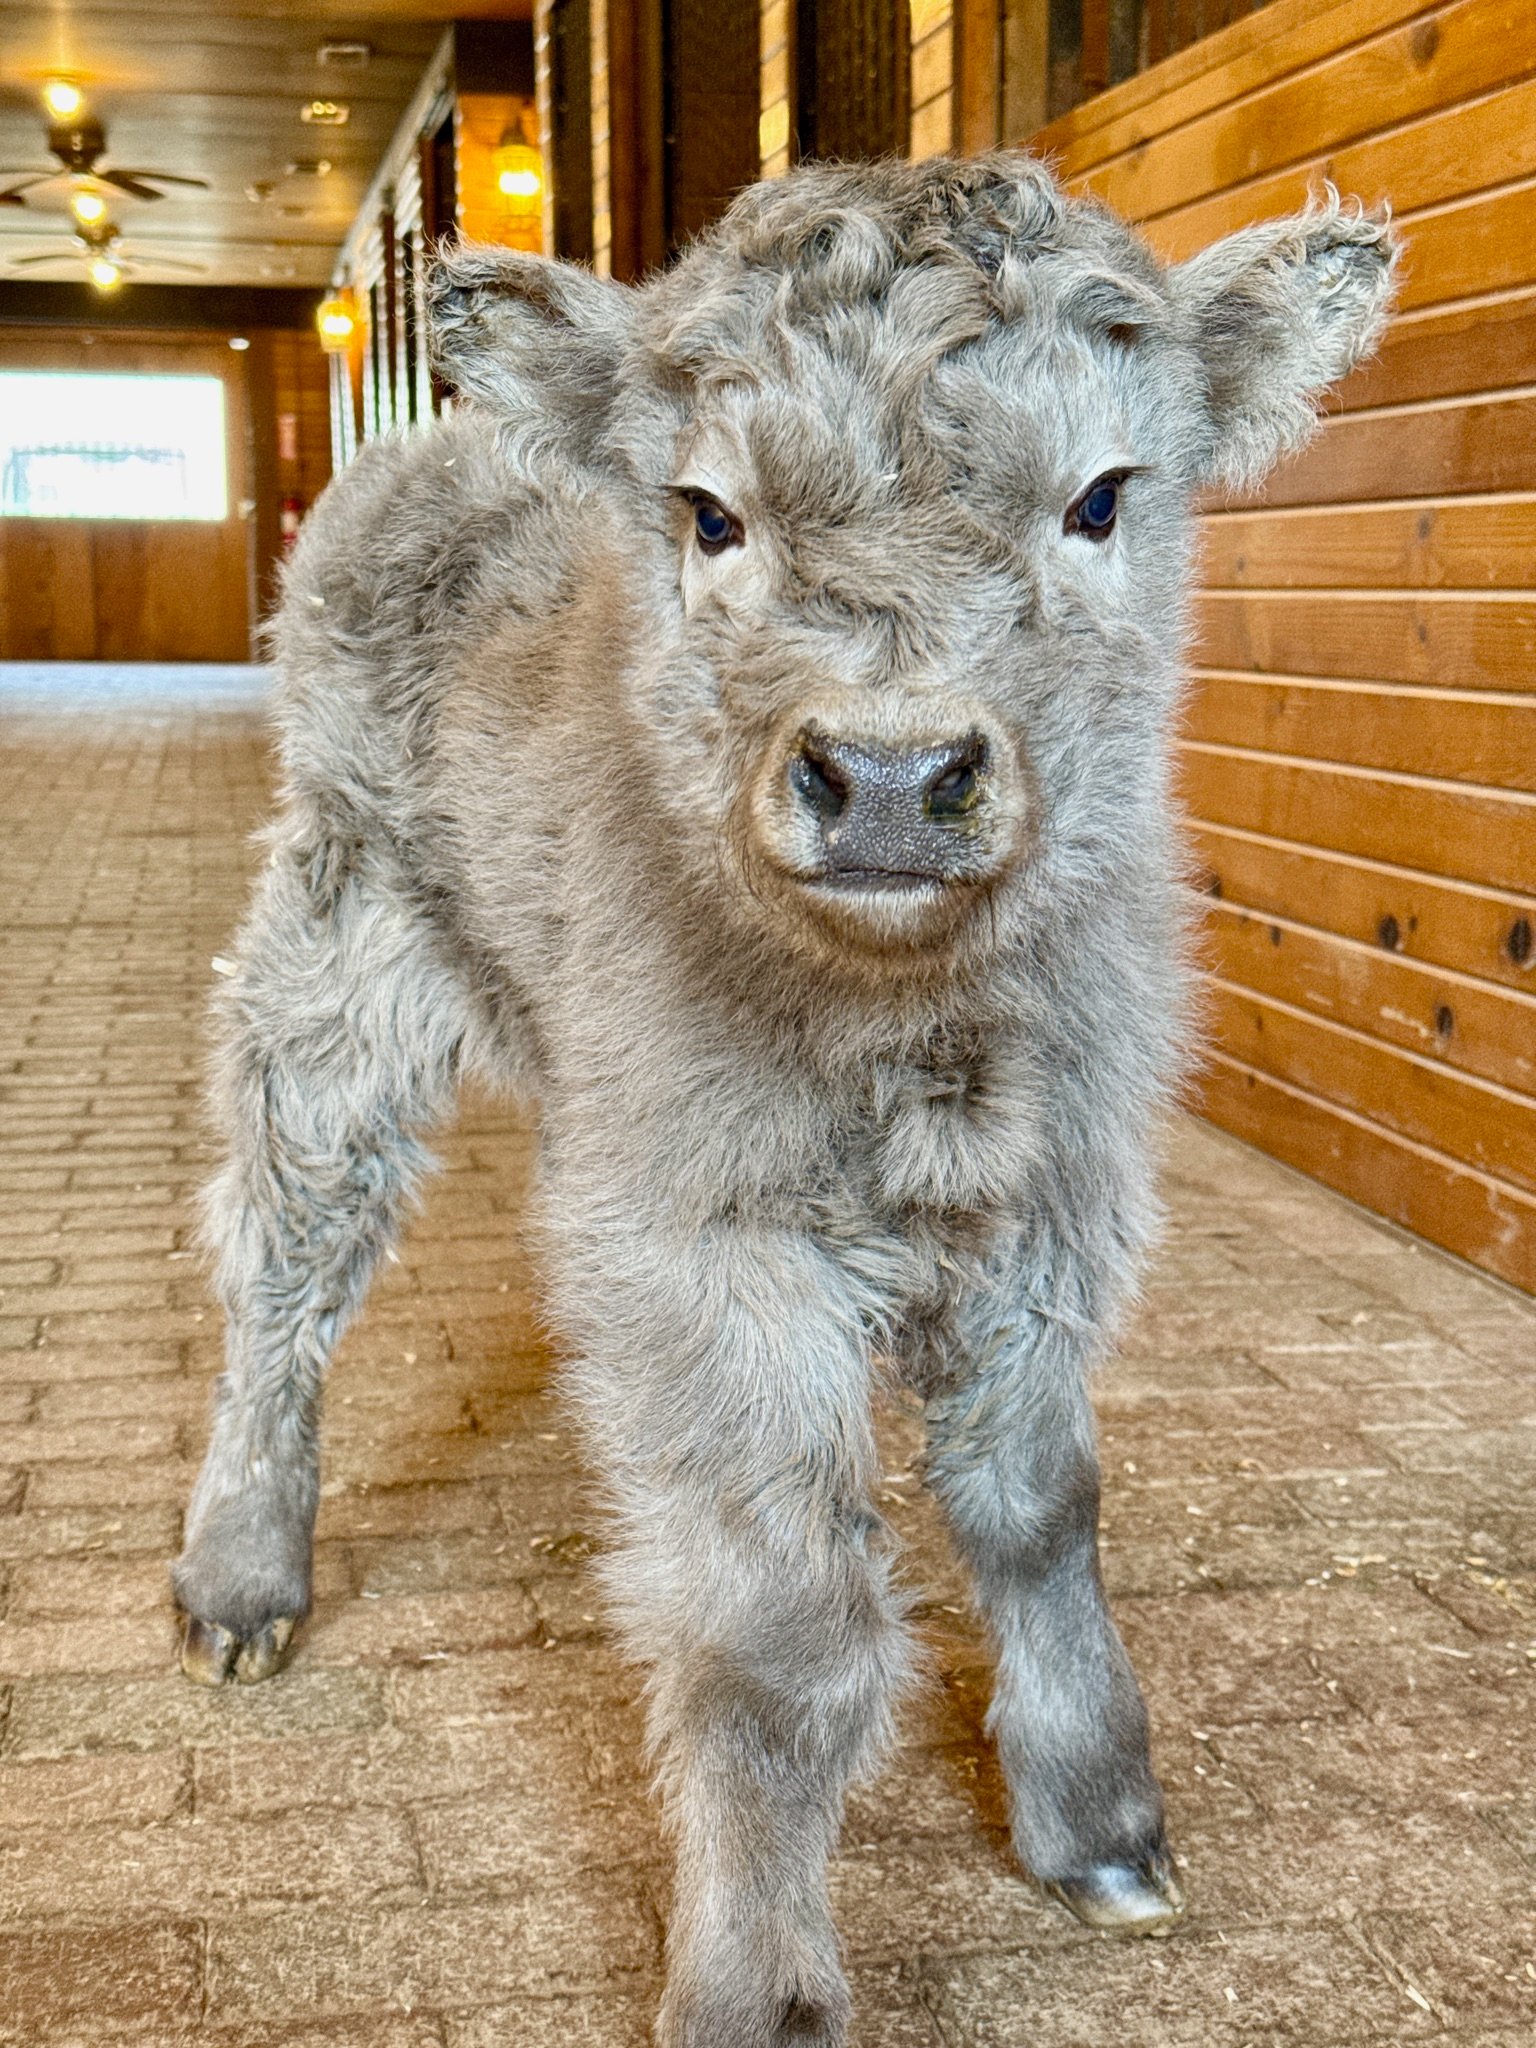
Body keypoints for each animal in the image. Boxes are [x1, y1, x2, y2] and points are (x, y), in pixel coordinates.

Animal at [171, 153, 1395, 2047]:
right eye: (708, 516)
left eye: (1103, 498)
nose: (888, 771)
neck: (908, 1033)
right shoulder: (712, 1253)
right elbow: (780, 1631)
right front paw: (757, 1976)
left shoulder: (1059, 1204)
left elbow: (1038, 1502)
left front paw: (1098, 1819)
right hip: (333, 975)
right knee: (281, 1274)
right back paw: (241, 1576)